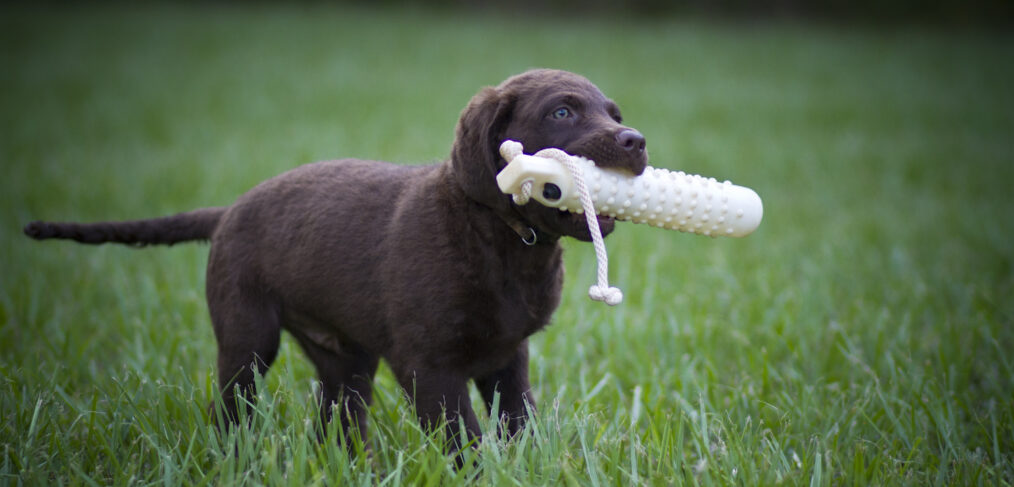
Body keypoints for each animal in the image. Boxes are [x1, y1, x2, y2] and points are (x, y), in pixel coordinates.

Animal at [23, 69, 648, 452]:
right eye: (562, 112)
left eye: (613, 113)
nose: (635, 141)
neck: (504, 240)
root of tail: (229, 210)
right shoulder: (428, 366)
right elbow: (463, 440)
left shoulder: (508, 357)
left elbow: (519, 427)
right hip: (248, 336)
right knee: (232, 409)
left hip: (346, 362)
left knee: (337, 424)